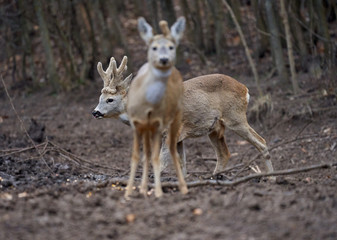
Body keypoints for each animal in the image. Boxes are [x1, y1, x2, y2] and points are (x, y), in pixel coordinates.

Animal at [124, 15, 188, 198]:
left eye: (171, 47)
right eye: (154, 47)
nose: (164, 59)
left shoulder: (159, 124)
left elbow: (156, 157)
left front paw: (158, 192)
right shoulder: (136, 124)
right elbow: (136, 156)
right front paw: (128, 192)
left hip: (176, 116)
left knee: (173, 150)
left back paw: (183, 187)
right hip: (147, 129)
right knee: (147, 153)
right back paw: (143, 188)